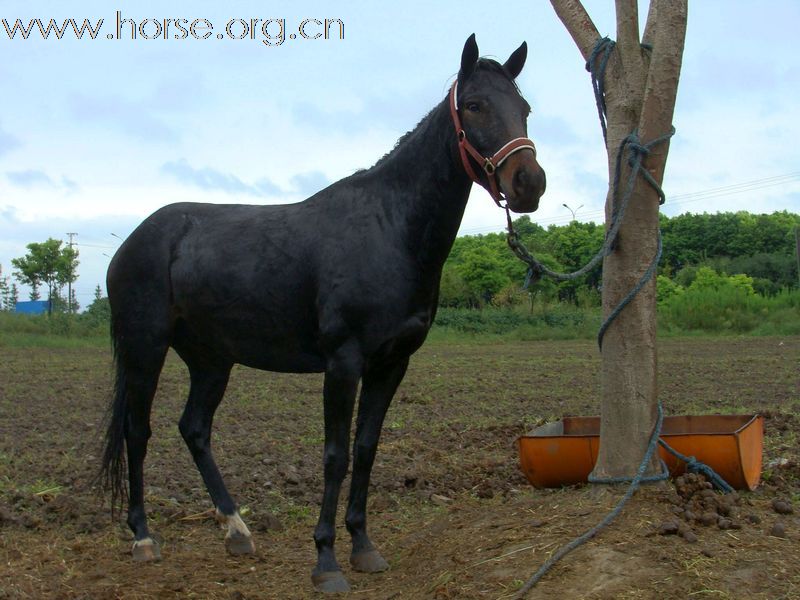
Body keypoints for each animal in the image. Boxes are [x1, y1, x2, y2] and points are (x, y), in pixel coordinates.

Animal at [101, 35, 544, 592]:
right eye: (475, 105)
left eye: (524, 108)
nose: (529, 183)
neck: (389, 228)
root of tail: (133, 241)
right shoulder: (344, 362)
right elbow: (334, 455)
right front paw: (326, 560)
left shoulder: (391, 364)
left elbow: (366, 448)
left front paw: (364, 546)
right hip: (145, 348)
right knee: (137, 432)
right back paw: (143, 537)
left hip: (211, 360)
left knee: (194, 429)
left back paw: (237, 530)